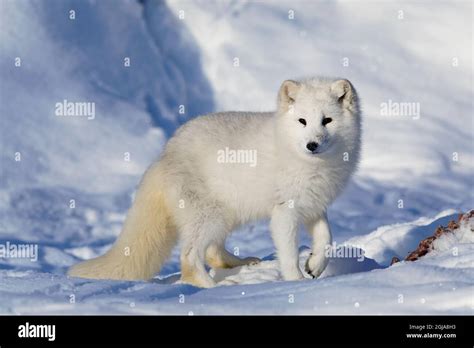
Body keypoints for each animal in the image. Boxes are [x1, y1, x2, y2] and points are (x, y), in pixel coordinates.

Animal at [68, 78, 362, 288]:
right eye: (302, 121)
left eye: (327, 120)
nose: (312, 144)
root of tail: (164, 154)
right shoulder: (284, 211)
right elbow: (288, 252)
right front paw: (295, 283)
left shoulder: (314, 205)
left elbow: (326, 237)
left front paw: (316, 265)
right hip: (209, 215)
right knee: (190, 258)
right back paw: (214, 287)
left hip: (226, 214)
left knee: (212, 252)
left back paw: (242, 263)